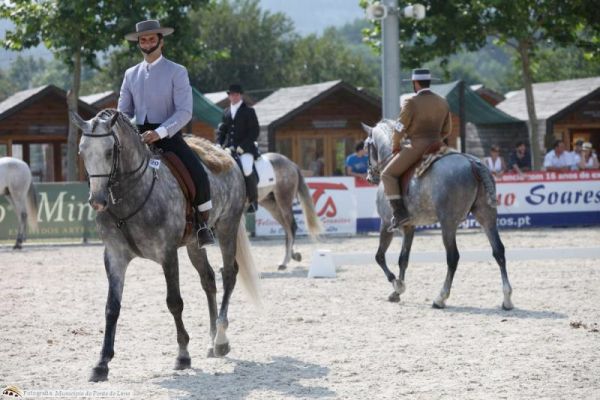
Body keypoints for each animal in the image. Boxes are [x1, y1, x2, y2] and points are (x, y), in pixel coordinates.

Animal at [71, 108, 258, 382]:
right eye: (82, 151)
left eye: (109, 152)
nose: (97, 200)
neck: (131, 195)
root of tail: (226, 155)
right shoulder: (115, 256)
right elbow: (111, 308)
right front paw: (102, 363)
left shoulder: (167, 254)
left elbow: (174, 302)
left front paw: (183, 355)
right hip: (195, 244)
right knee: (208, 279)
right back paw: (212, 340)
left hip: (227, 228)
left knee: (229, 274)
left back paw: (221, 339)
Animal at [358, 119, 512, 310]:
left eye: (366, 146)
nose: (369, 177)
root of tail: (471, 163)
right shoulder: (409, 226)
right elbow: (403, 259)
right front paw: (396, 293)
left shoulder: (386, 223)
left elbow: (379, 256)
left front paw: (396, 284)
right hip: (486, 217)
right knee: (499, 251)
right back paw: (507, 299)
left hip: (448, 223)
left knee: (453, 258)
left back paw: (440, 298)